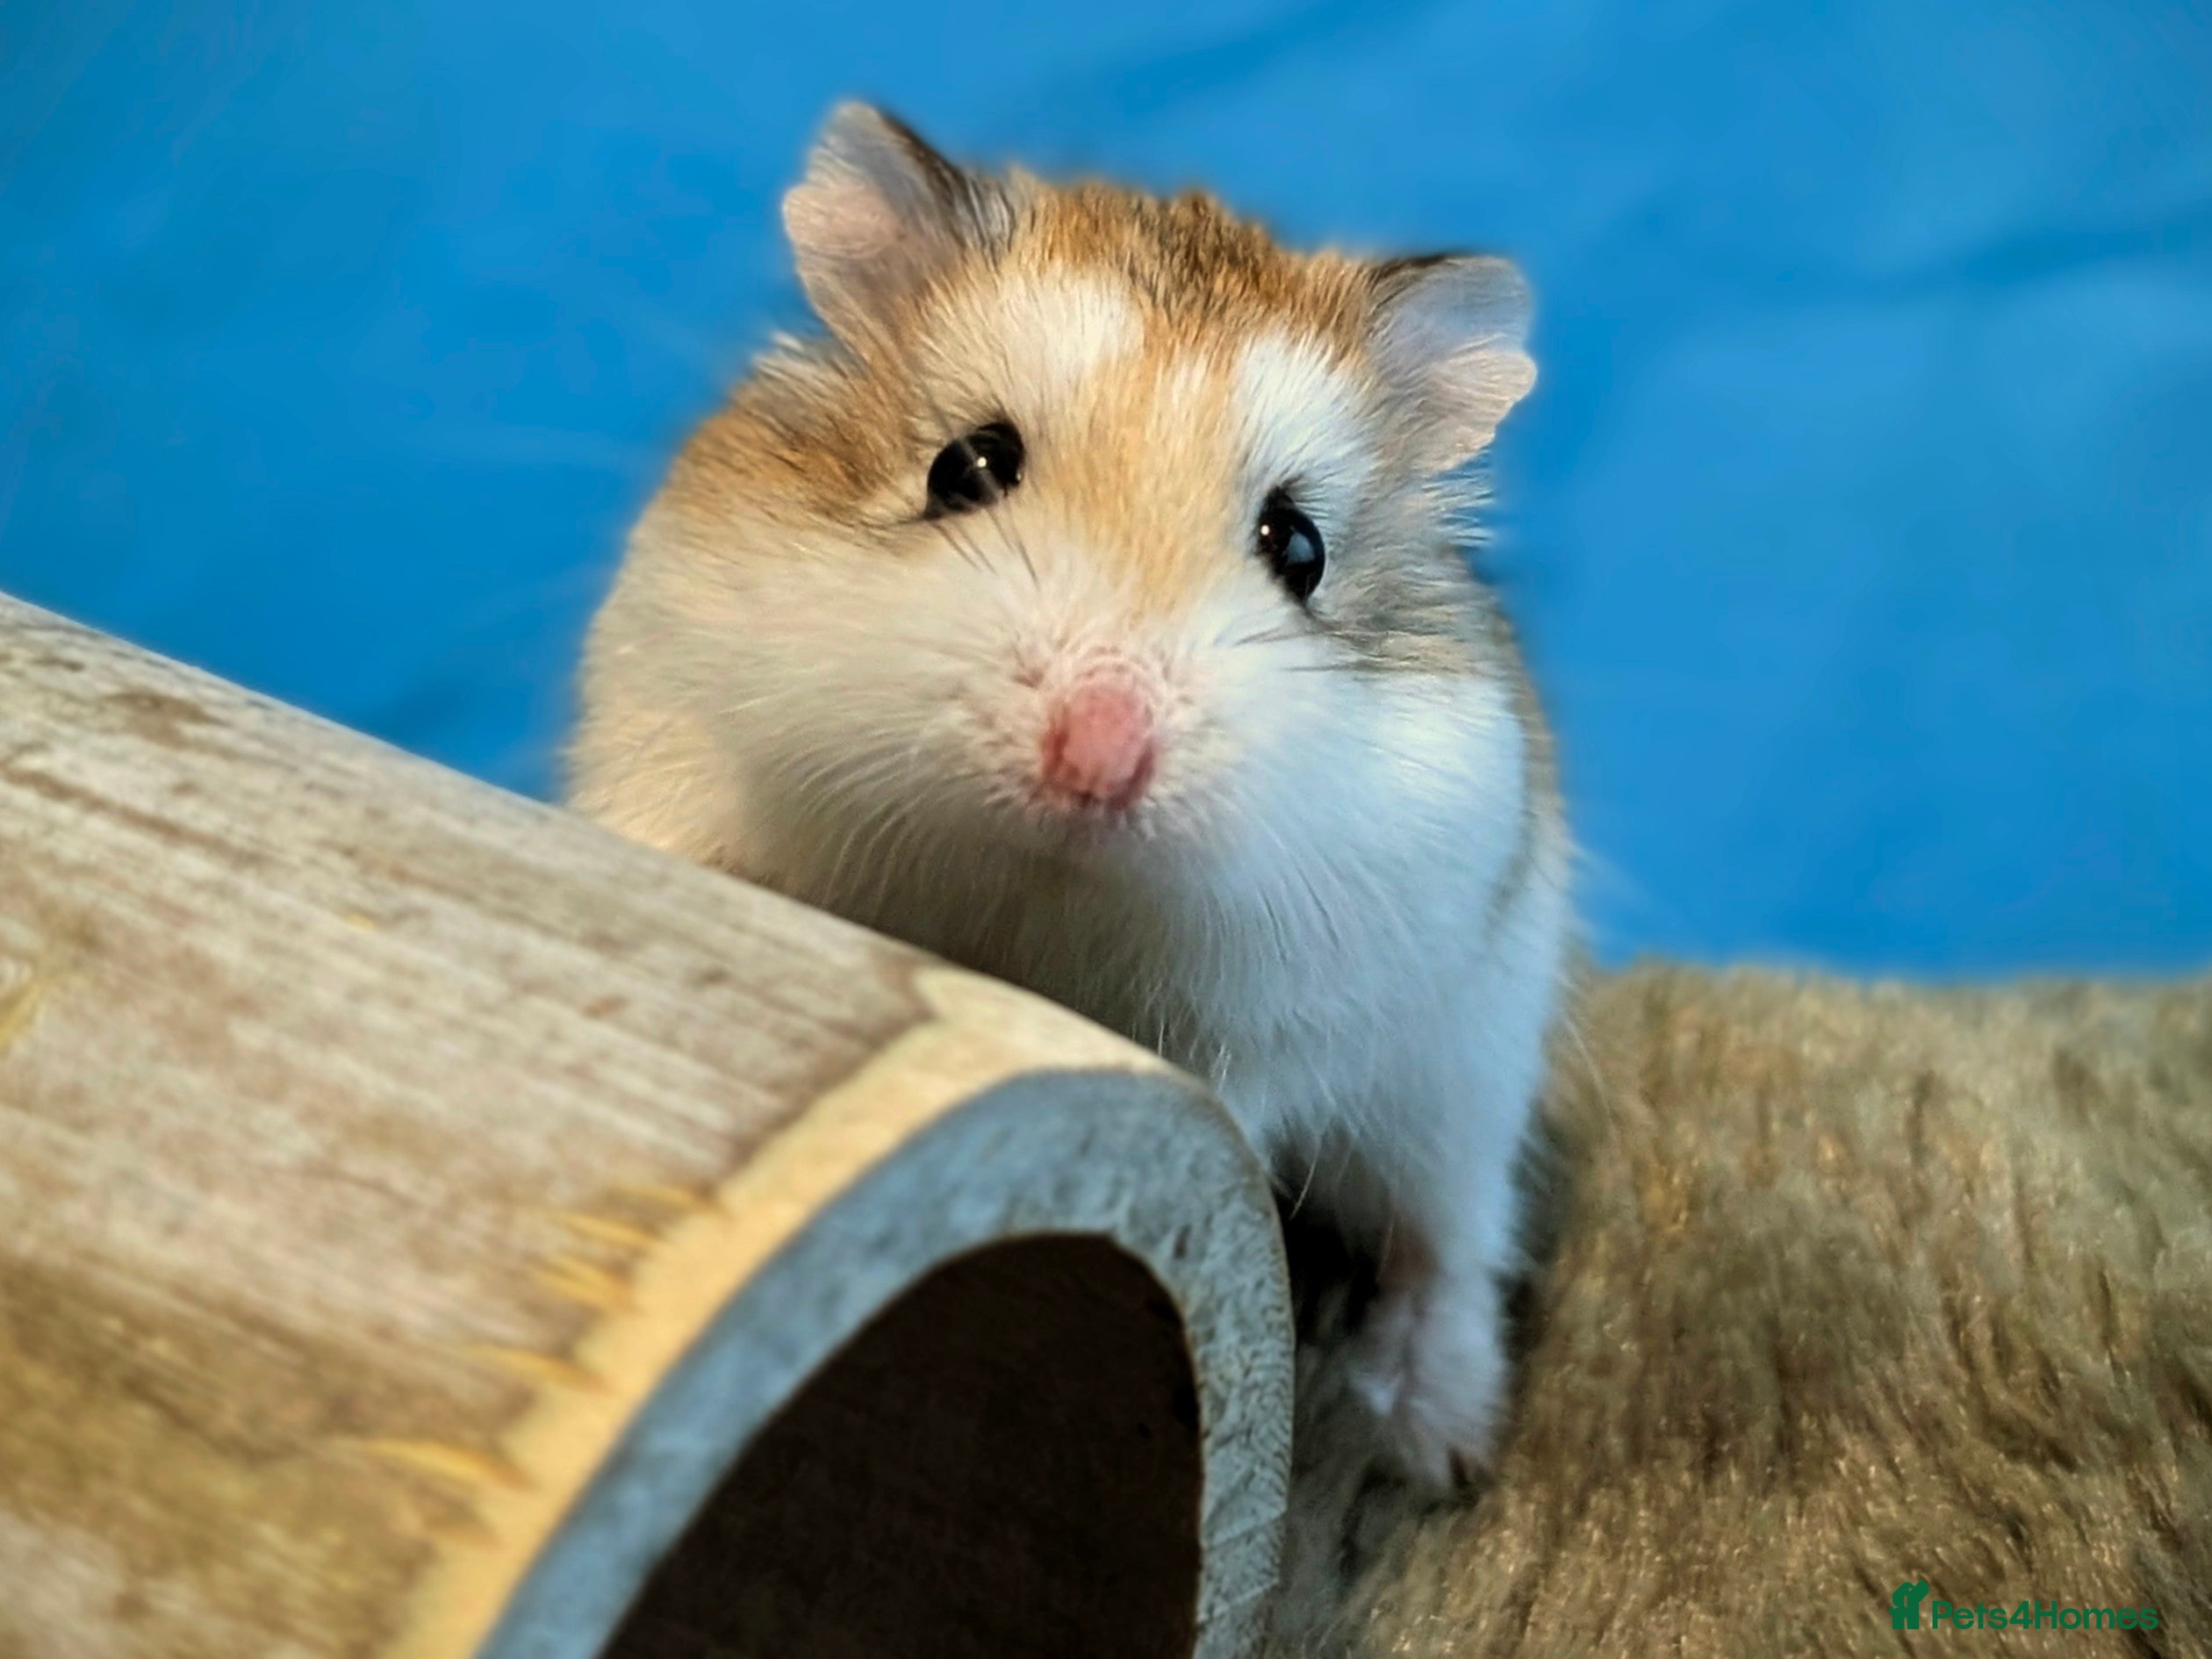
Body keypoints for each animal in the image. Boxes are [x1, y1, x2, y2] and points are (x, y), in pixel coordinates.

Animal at [568, 102, 1572, 1490]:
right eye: (964, 467)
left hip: (1464, 1081)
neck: (1037, 878)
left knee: (1446, 1247)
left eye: (1300, 548)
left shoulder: (1281, 1021)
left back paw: (1437, 1441)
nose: (1098, 755)